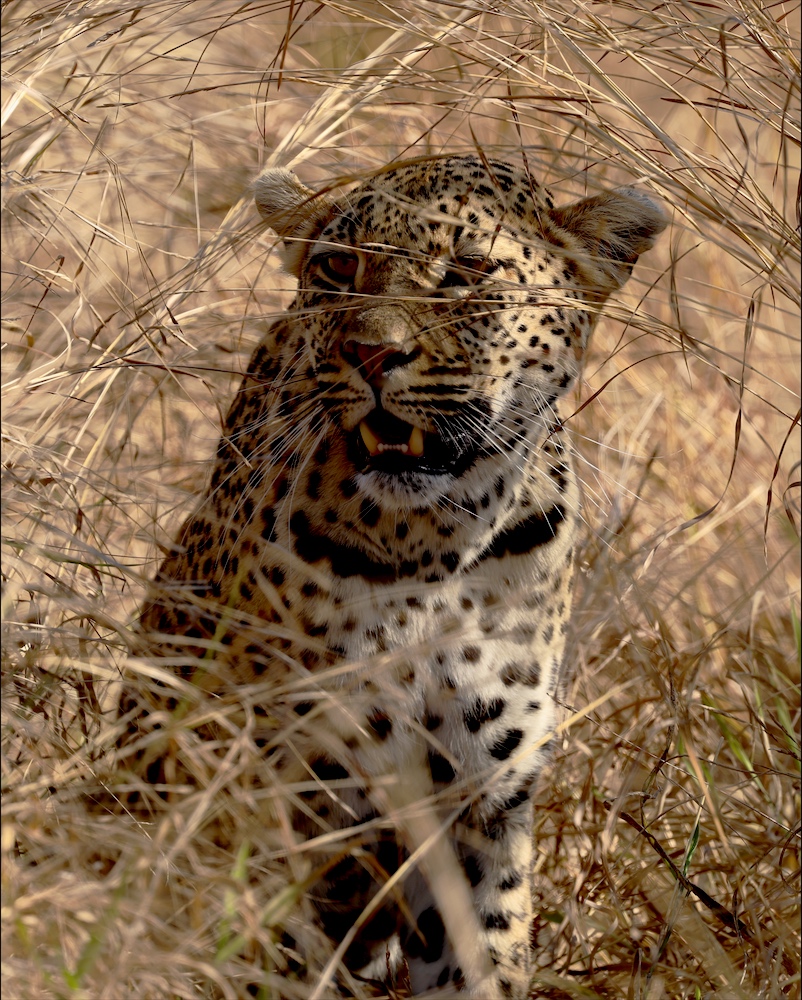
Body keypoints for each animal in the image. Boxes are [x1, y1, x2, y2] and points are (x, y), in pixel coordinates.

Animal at [130, 154, 666, 998]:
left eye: (469, 271)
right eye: (337, 267)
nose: (371, 355)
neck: (430, 548)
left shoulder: (482, 802)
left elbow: (481, 957)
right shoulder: (265, 780)